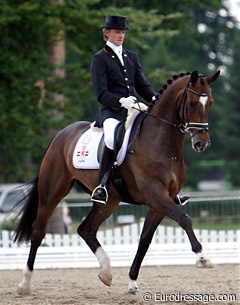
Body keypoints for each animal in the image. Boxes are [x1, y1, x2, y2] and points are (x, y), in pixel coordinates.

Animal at [13, 70, 219, 294]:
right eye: (191, 103)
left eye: (210, 103)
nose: (201, 143)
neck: (161, 142)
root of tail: (60, 135)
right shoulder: (155, 194)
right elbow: (184, 219)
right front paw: (203, 257)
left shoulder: (160, 202)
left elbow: (144, 240)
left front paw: (132, 282)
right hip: (52, 192)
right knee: (38, 232)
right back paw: (24, 284)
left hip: (109, 201)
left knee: (86, 229)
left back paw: (106, 272)